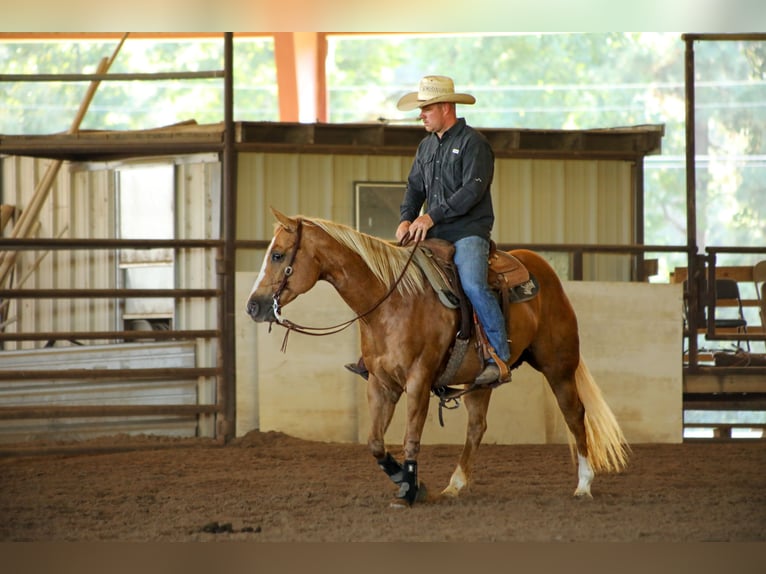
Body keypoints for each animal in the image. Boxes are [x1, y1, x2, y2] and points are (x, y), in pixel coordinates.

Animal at [246, 210, 632, 508]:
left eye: (278, 255)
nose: (253, 306)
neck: (393, 301)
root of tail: (543, 270)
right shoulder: (381, 383)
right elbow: (375, 443)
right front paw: (411, 483)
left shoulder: (418, 379)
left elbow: (411, 436)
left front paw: (409, 491)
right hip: (480, 381)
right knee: (476, 427)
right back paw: (455, 485)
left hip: (559, 366)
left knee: (575, 415)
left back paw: (583, 485)